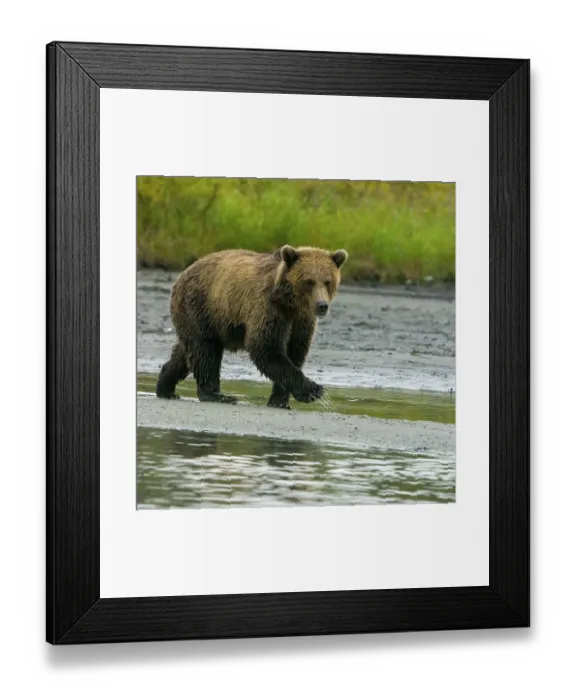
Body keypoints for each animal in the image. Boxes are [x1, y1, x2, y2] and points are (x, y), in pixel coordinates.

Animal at [155, 244, 348, 408]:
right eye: (309, 281)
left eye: (327, 281)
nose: (322, 305)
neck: (291, 304)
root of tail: (182, 274)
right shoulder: (268, 309)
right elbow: (265, 348)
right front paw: (314, 390)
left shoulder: (301, 322)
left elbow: (295, 352)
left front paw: (280, 400)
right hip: (201, 305)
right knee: (205, 351)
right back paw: (216, 395)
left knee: (187, 351)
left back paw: (166, 387)